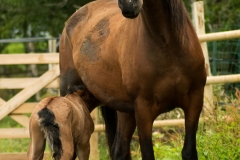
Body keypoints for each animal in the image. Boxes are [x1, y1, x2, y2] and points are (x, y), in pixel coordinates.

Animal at [59, 0, 206, 160]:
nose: (128, 5)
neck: (168, 45)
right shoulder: (143, 109)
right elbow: (148, 154)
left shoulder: (195, 100)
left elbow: (189, 151)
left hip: (124, 111)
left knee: (120, 150)